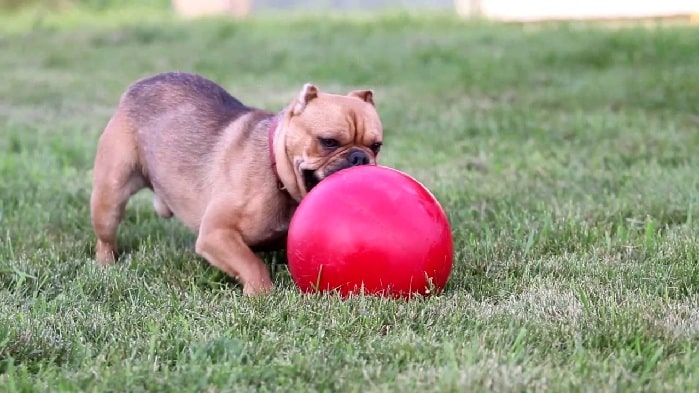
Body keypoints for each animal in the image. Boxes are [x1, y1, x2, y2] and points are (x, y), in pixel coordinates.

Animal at [89, 72, 382, 294]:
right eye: (329, 141)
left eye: (376, 146)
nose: (359, 157)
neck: (275, 171)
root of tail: (138, 86)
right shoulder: (216, 234)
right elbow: (251, 263)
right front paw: (261, 293)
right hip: (110, 195)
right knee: (106, 236)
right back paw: (107, 265)